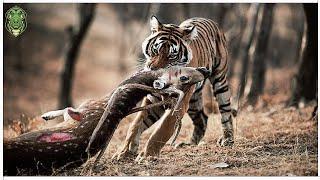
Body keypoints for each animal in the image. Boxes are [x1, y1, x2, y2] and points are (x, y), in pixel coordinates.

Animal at [112, 15, 232, 160]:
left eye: (172, 56)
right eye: (155, 50)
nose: (154, 70)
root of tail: (208, 20)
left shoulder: (179, 103)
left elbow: (162, 129)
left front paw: (147, 156)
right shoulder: (153, 99)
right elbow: (136, 124)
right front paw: (124, 151)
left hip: (220, 81)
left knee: (226, 111)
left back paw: (227, 139)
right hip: (193, 101)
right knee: (202, 117)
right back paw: (190, 143)